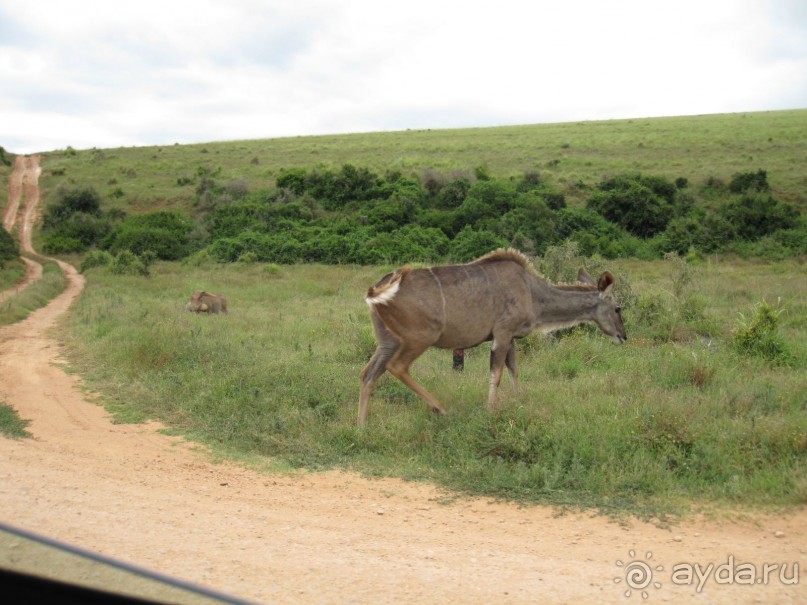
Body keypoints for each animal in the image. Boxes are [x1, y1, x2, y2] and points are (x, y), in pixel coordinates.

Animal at [356, 248, 628, 428]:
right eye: (618, 308)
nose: (623, 336)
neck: (533, 292)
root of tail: (377, 290)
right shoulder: (502, 333)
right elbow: (496, 375)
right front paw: (489, 413)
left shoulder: (511, 338)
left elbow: (514, 371)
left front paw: (517, 406)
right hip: (419, 338)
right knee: (397, 367)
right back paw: (441, 409)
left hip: (388, 342)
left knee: (368, 374)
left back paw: (361, 427)